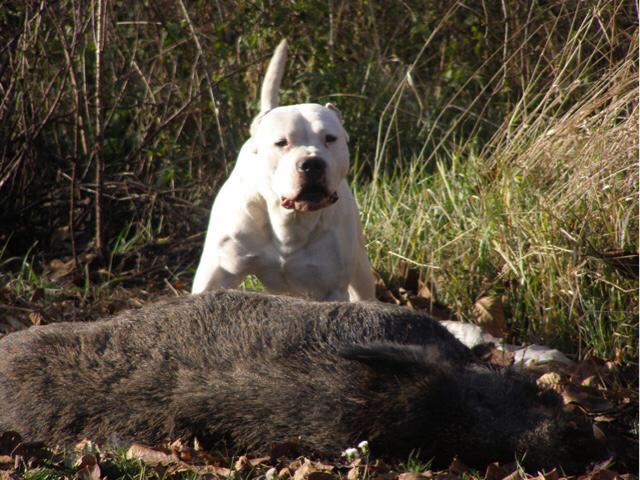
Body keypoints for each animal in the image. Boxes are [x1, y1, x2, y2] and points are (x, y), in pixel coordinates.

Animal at [192, 42, 378, 304]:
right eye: (281, 142)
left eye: (330, 138)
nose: (312, 164)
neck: (288, 221)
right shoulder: (216, 276)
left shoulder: (331, 290)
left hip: (360, 271)